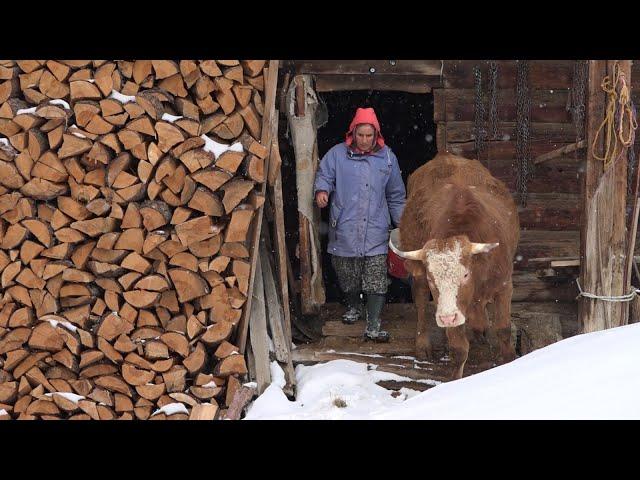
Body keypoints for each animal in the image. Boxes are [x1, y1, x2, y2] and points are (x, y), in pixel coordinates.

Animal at [390, 153, 520, 378]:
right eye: (432, 279)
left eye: (465, 275)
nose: (447, 318)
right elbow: (459, 348)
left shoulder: (504, 285)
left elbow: (503, 329)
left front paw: (510, 361)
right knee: (421, 300)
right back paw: (423, 344)